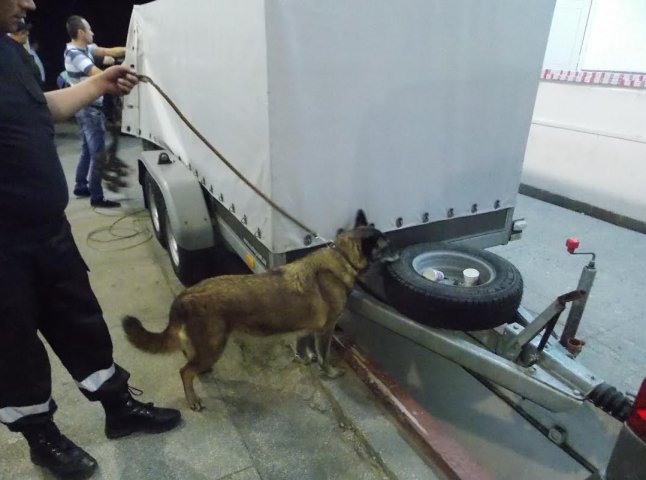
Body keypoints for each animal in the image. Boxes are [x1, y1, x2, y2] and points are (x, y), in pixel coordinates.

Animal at [121, 210, 394, 408]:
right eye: (386, 246)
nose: (399, 255)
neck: (342, 258)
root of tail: (184, 296)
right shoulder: (325, 330)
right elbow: (324, 356)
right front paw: (329, 371)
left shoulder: (308, 328)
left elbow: (303, 345)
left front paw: (305, 358)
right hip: (213, 346)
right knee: (185, 372)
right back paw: (193, 399)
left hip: (204, 347)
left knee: (189, 361)